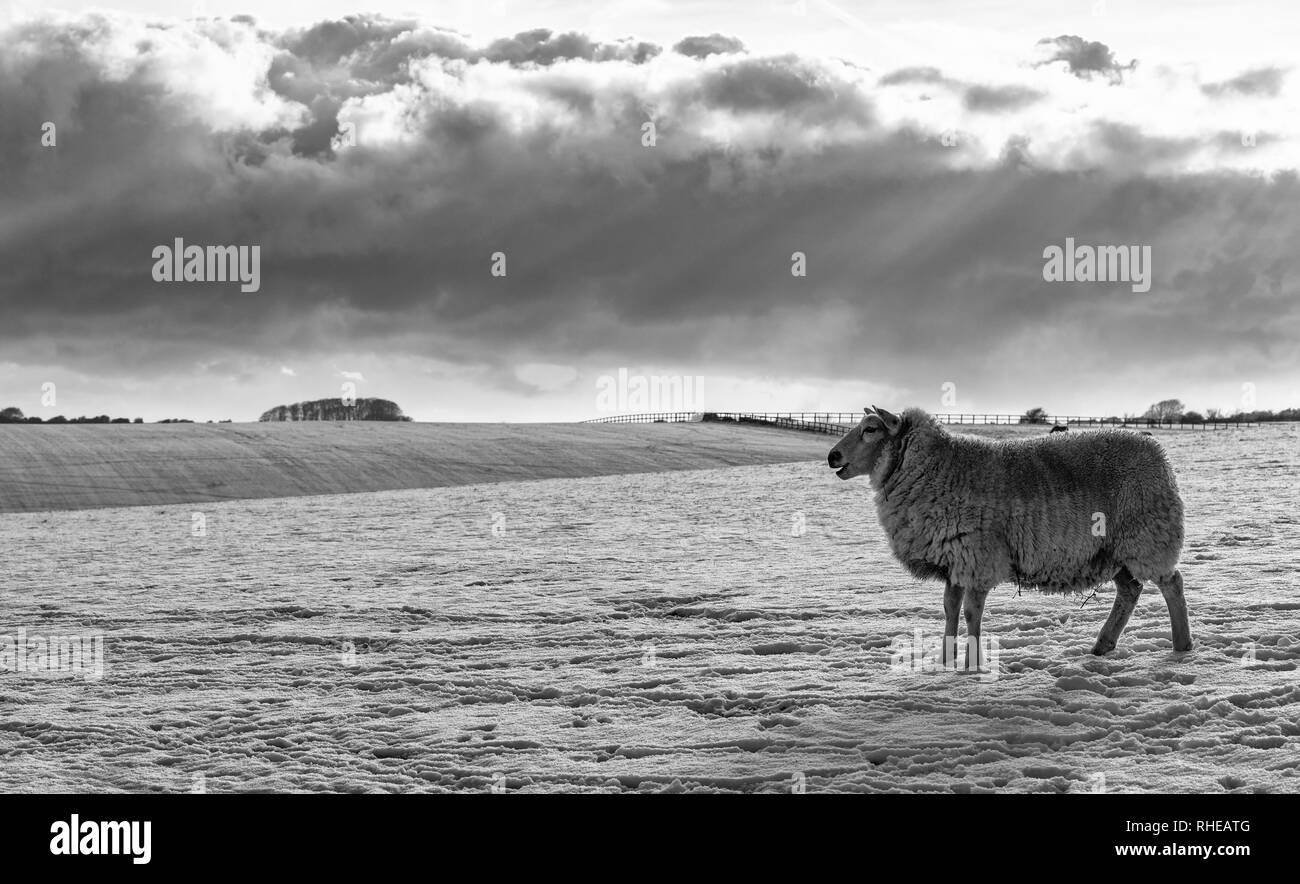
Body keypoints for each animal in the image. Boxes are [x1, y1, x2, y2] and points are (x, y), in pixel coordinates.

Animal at [826, 406, 1190, 668]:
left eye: (870, 430)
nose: (832, 457)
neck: (935, 468)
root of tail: (1157, 451)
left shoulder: (978, 556)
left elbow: (971, 611)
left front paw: (973, 664)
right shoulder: (955, 557)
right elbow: (950, 608)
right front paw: (945, 659)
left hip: (1147, 537)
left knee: (1172, 584)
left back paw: (1182, 646)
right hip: (1114, 550)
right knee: (1130, 591)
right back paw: (1102, 646)